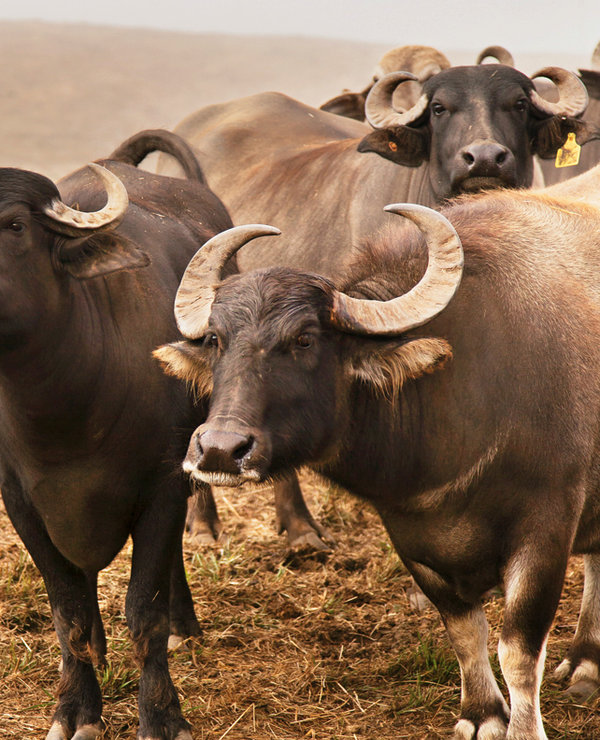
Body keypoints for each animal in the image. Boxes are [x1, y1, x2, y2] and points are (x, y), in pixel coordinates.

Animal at [156, 168, 600, 738]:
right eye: (215, 339)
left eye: (304, 339)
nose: (218, 449)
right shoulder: (413, 538)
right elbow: (465, 632)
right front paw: (480, 714)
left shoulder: (545, 531)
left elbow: (518, 650)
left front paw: (522, 728)